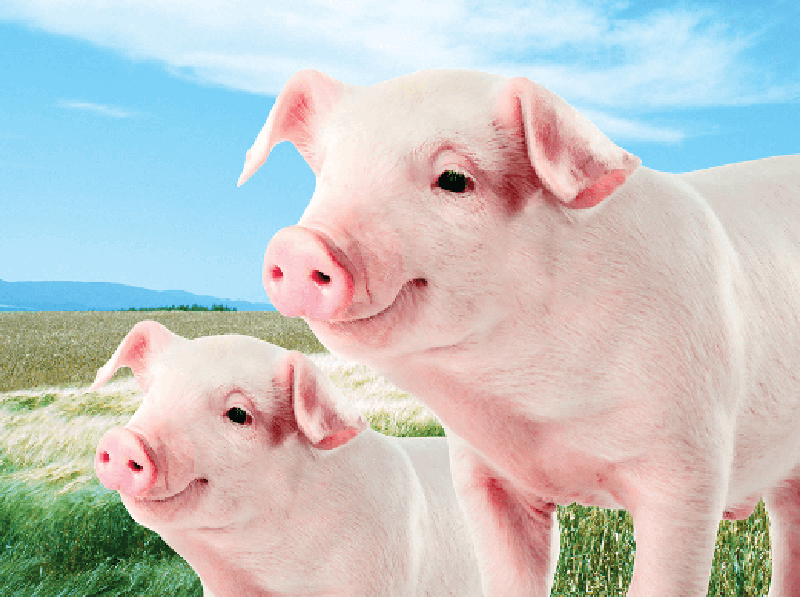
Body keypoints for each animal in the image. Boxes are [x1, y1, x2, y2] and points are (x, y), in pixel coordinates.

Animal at [237, 67, 800, 596]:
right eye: (326, 176)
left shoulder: (690, 459)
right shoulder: (482, 473)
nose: (299, 244)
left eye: (454, 178)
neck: (535, 419)